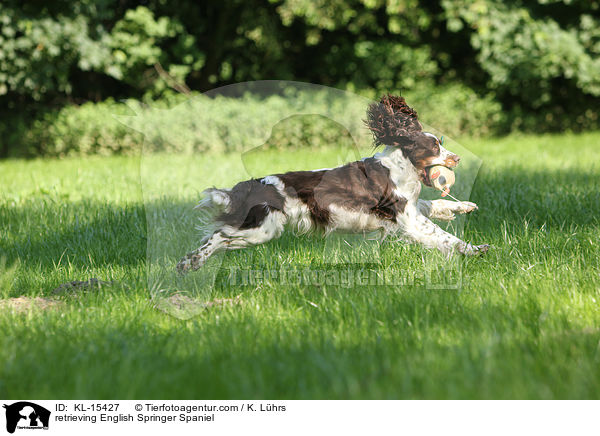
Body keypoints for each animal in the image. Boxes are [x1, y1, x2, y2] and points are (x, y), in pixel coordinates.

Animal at [177, 95, 488, 272]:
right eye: (434, 147)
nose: (457, 158)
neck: (399, 167)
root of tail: (251, 186)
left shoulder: (408, 209)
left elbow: (432, 204)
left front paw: (464, 207)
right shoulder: (408, 219)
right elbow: (444, 237)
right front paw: (475, 249)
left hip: (258, 232)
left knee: (217, 237)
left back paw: (192, 264)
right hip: (262, 228)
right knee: (218, 236)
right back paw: (188, 262)